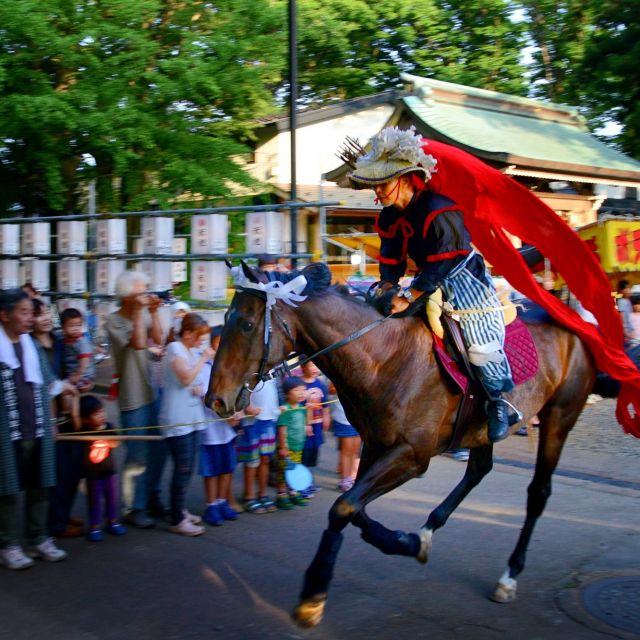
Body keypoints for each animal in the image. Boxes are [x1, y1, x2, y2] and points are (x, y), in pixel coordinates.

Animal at [208, 262, 596, 628]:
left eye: (246, 324)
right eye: (225, 319)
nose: (216, 399)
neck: (383, 357)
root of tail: (572, 315)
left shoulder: (412, 454)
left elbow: (343, 508)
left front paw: (313, 595)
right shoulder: (375, 443)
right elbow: (354, 508)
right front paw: (407, 541)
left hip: (559, 415)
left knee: (538, 492)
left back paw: (509, 575)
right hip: (482, 429)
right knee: (478, 470)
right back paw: (428, 529)